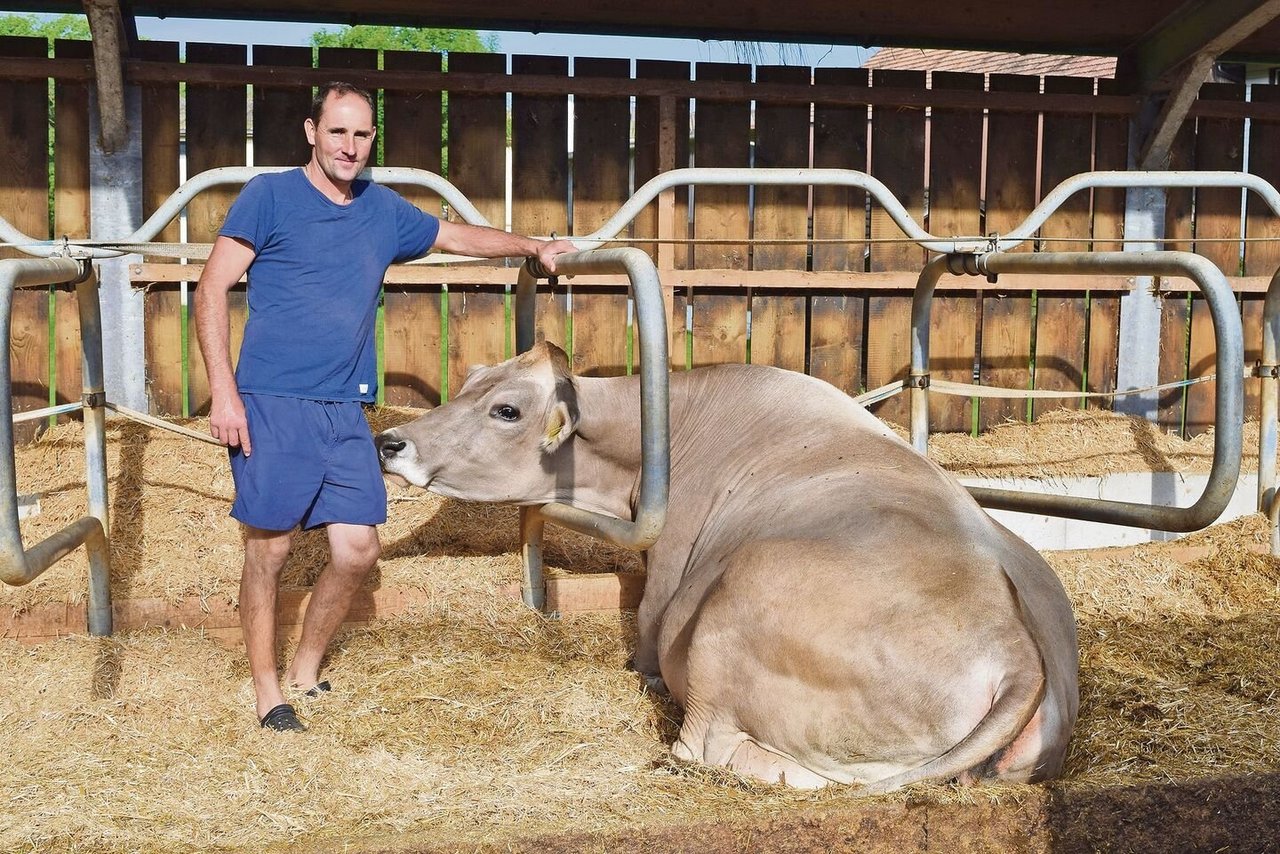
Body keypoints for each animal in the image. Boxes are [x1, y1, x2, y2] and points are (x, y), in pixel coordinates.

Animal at [376, 343, 1080, 793]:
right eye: (471, 382)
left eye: (507, 410)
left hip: (738, 603)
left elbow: (648, 632)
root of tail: (1016, 646)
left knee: (704, 745)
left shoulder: (667, 574)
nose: (390, 442)